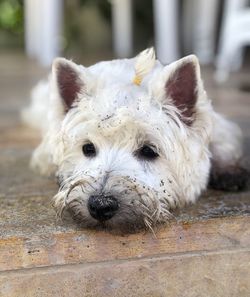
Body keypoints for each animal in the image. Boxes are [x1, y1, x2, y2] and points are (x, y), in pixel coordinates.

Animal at [22, 47, 248, 231]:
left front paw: (229, 170)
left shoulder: (219, 125)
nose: (100, 206)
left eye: (149, 150)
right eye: (87, 148)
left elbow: (224, 142)